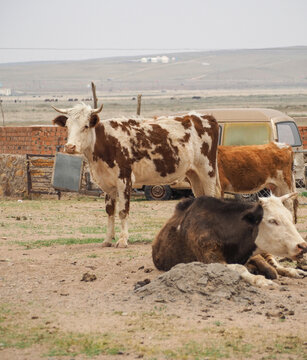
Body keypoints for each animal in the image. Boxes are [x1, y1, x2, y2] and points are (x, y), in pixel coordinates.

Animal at [53, 104, 221, 248]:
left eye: (85, 126)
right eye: (67, 126)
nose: (70, 147)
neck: (106, 141)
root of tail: (203, 117)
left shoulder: (124, 180)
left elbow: (123, 211)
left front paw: (122, 240)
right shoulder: (108, 185)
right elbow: (110, 211)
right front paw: (107, 240)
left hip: (207, 171)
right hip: (194, 174)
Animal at [154, 194, 307, 286]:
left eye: (290, 217)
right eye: (272, 221)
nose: (302, 246)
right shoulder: (210, 258)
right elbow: (239, 268)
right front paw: (260, 279)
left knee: (275, 265)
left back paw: (295, 271)